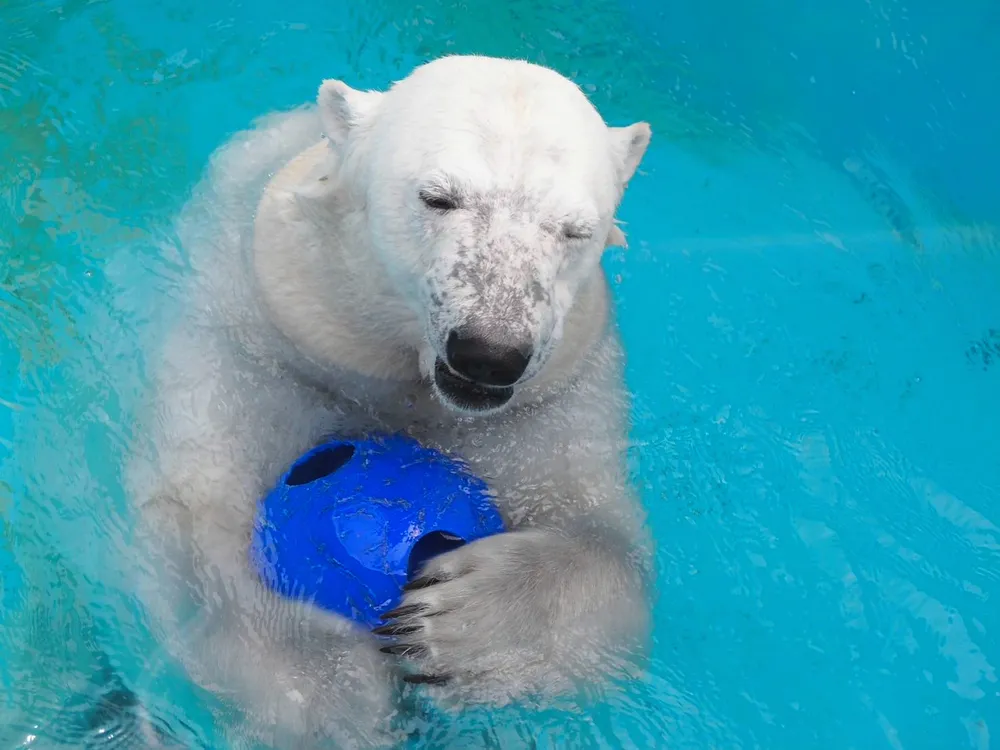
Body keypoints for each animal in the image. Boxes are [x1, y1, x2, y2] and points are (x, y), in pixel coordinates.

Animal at [125, 54, 653, 748]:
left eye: (573, 231)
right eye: (438, 197)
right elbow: (198, 519)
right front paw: (330, 687)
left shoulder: (550, 393)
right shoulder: (268, 343)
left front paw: (461, 625)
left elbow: (605, 539)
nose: (489, 350)